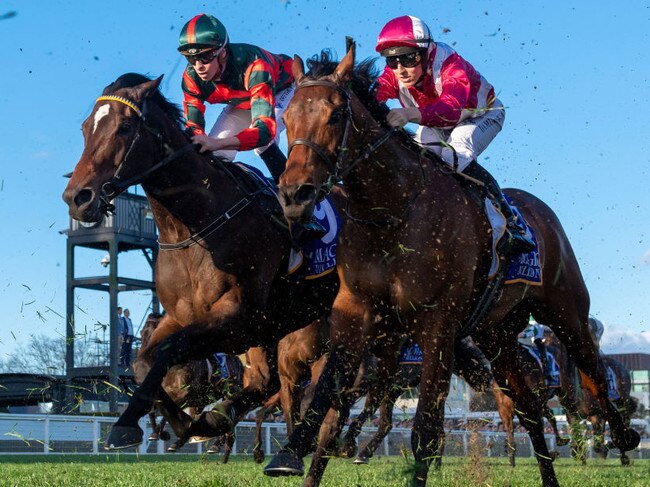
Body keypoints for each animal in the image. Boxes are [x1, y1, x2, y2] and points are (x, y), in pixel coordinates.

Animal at [62, 74, 340, 452]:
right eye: (85, 127)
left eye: (125, 126)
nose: (76, 198)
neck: (194, 227)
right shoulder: (183, 316)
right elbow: (143, 362)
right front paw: (176, 424)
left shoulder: (238, 316)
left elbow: (168, 351)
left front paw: (135, 425)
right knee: (266, 382)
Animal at [264, 46, 636, 487]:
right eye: (287, 118)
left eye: (335, 115)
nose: (294, 194)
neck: (394, 210)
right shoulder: (355, 314)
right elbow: (324, 405)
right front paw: (290, 454)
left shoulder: (438, 325)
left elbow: (425, 430)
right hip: (497, 334)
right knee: (527, 407)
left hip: (566, 313)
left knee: (593, 374)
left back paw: (623, 436)